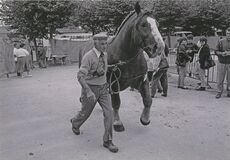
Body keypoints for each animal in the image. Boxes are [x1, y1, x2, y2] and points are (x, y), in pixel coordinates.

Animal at [107, 2, 164, 132]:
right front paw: (117, 122)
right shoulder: (114, 83)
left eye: (157, 24)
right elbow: (116, 102)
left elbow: (148, 100)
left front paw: (145, 119)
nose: (159, 47)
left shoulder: (141, 81)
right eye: (143, 25)